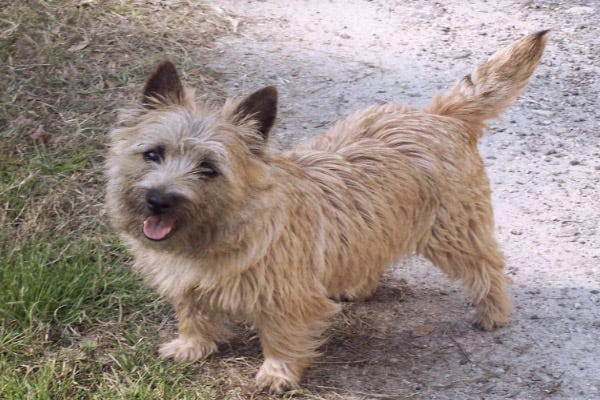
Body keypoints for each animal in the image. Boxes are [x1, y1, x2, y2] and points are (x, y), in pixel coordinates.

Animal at [104, 29, 548, 392]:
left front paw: (277, 374)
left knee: (487, 265)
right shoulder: (187, 285)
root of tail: (439, 115)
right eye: (153, 153)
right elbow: (193, 313)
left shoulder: (288, 298)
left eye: (208, 168)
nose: (159, 199)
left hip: (454, 232)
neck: (215, 235)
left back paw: (493, 311)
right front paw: (191, 346)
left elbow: (282, 336)